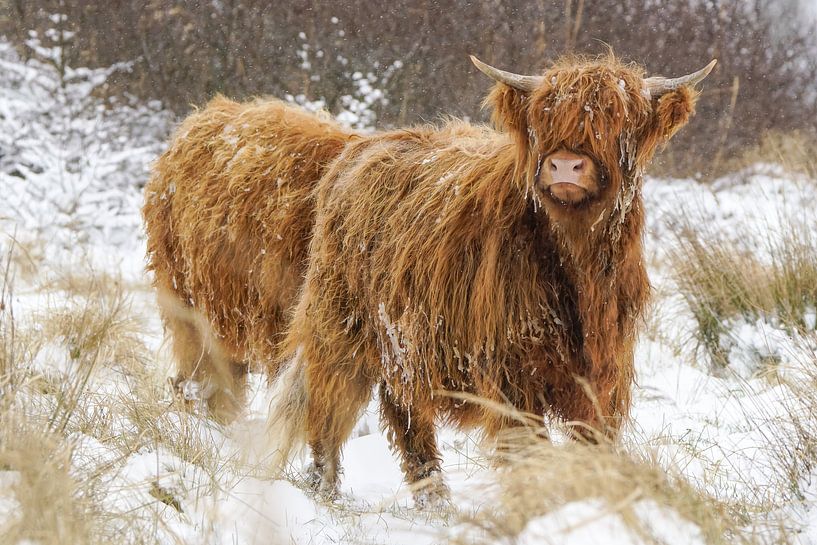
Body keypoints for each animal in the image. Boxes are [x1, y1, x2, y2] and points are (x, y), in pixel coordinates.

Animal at [268, 53, 712, 504]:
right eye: (544, 116)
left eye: (617, 115)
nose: (565, 165)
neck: (579, 261)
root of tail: (359, 149)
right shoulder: (510, 369)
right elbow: (527, 447)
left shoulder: (604, 371)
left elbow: (591, 440)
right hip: (342, 326)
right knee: (332, 403)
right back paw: (329, 488)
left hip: (401, 341)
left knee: (400, 407)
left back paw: (432, 499)